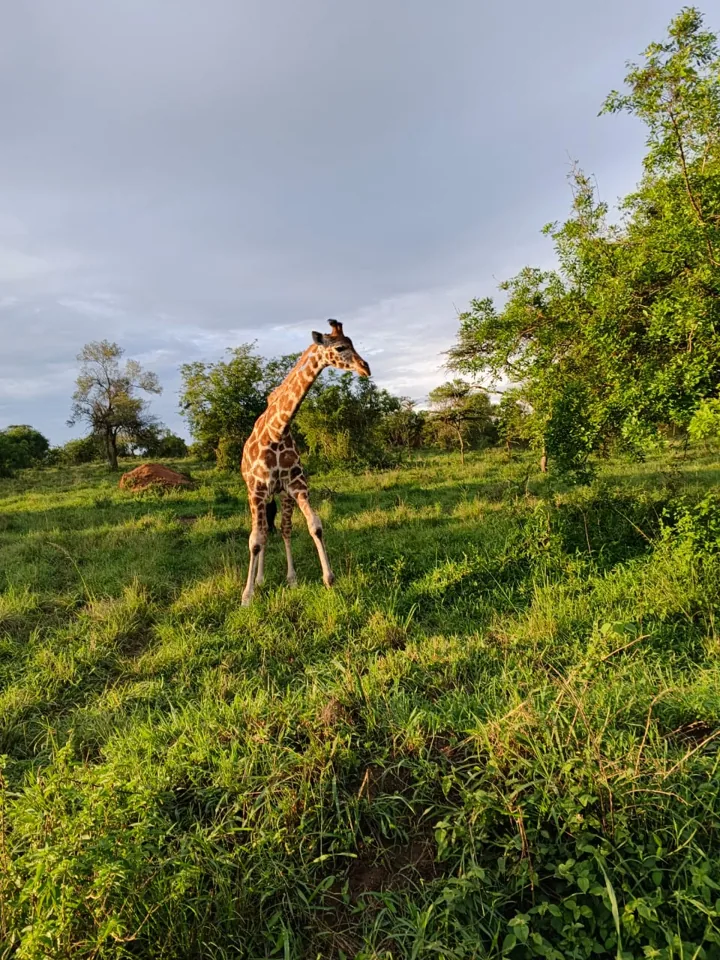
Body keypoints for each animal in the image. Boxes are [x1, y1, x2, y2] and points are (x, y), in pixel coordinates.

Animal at [240, 319, 371, 606]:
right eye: (341, 347)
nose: (365, 368)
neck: (277, 431)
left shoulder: (297, 485)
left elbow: (315, 526)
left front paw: (329, 579)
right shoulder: (257, 490)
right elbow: (255, 540)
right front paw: (247, 596)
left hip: (281, 494)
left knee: (283, 529)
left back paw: (289, 578)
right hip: (258, 493)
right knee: (262, 532)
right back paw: (259, 580)